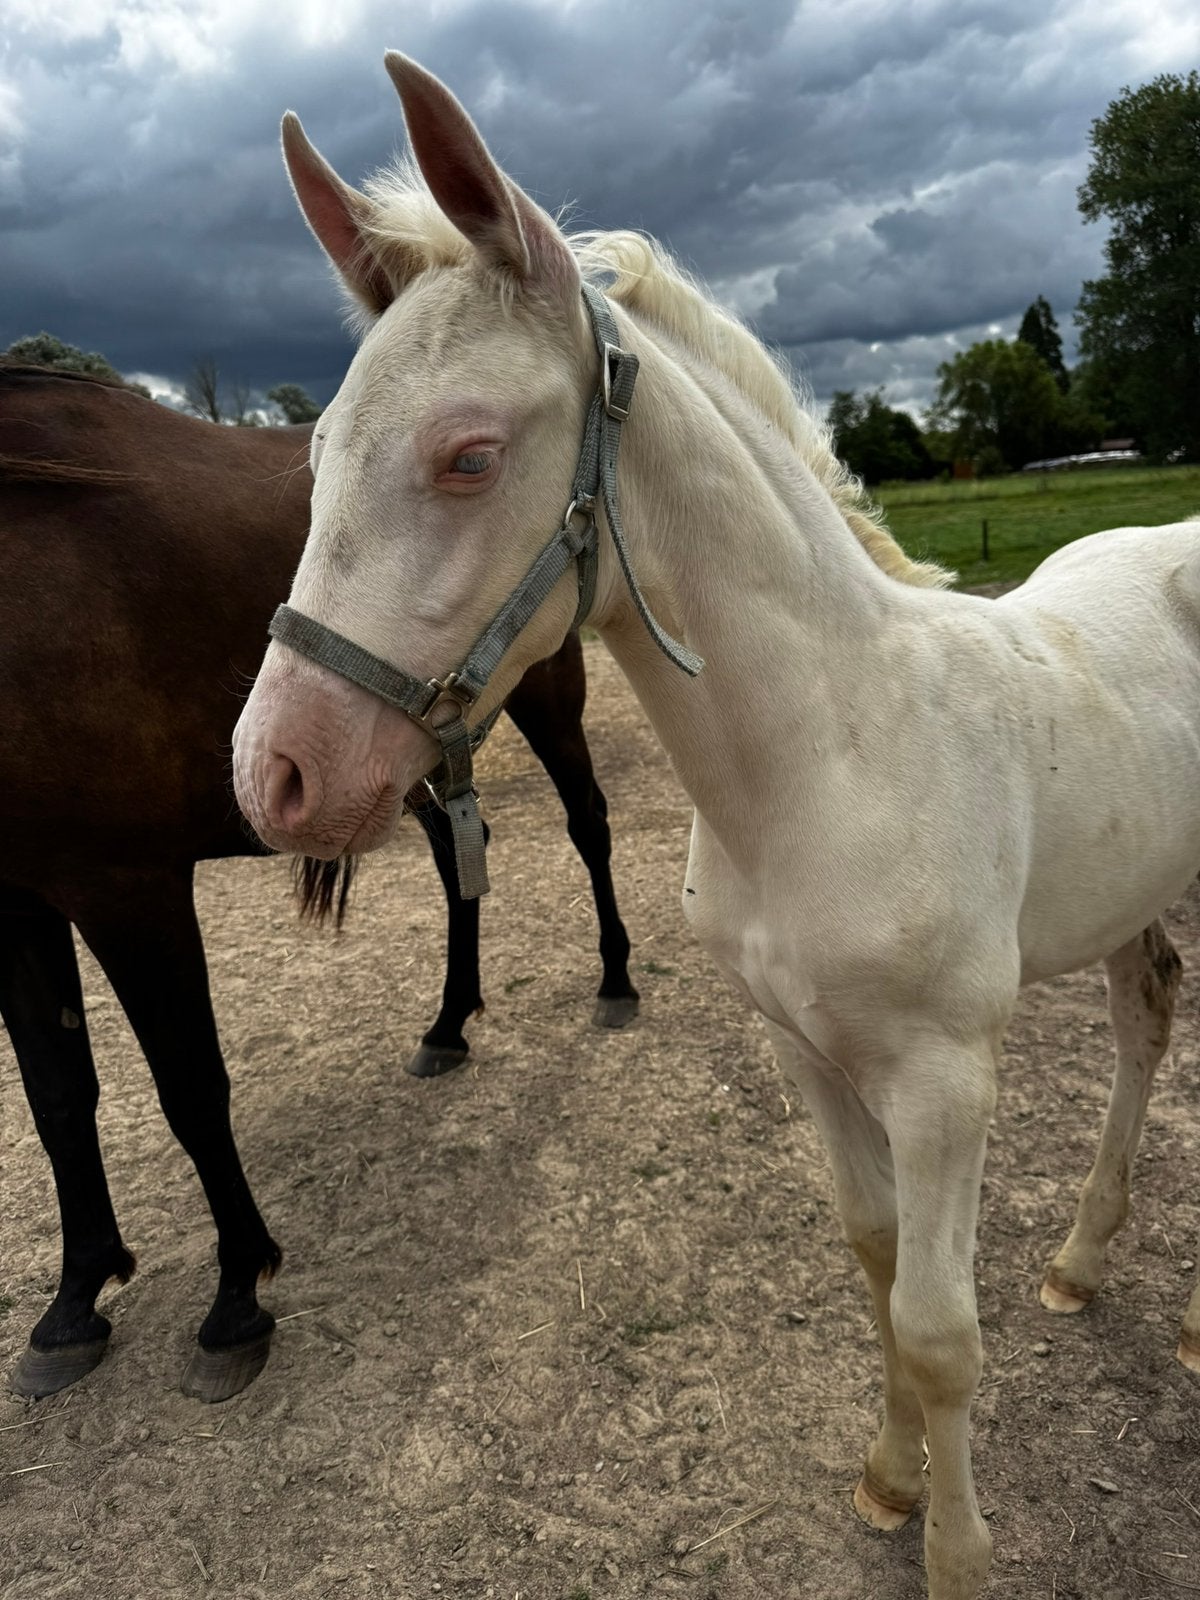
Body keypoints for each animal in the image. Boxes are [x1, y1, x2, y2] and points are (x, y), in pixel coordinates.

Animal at [0, 361, 638, 1404]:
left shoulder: (126, 888)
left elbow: (189, 1090)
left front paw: (234, 1299)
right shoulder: (13, 904)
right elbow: (57, 1099)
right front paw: (74, 1301)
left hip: (545, 701)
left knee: (589, 827)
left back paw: (616, 979)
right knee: (459, 865)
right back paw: (447, 1024)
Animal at [231, 55, 1200, 1600]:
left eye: (468, 455)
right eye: (319, 448)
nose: (277, 775)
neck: (833, 757)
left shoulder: (947, 1080)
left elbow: (942, 1329)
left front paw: (959, 1552)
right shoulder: (803, 1049)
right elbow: (874, 1264)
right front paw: (887, 1481)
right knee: (1146, 1015)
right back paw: (1083, 1258)